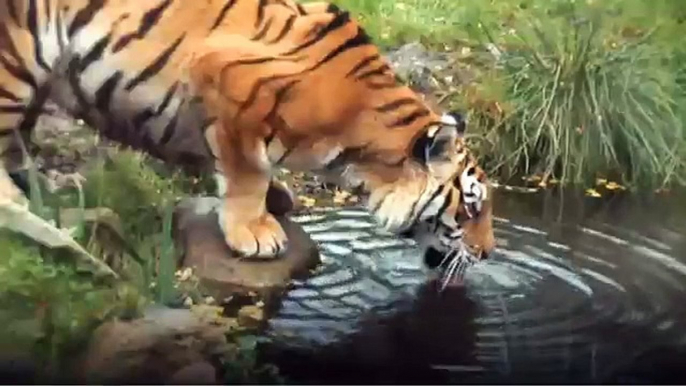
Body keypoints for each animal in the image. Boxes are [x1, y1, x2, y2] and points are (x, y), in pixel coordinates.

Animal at [0, 0, 498, 266]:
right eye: (471, 208)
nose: (489, 254)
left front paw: (275, 198)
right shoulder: (225, 76)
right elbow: (247, 171)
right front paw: (254, 230)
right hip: (16, 56)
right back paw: (22, 204)